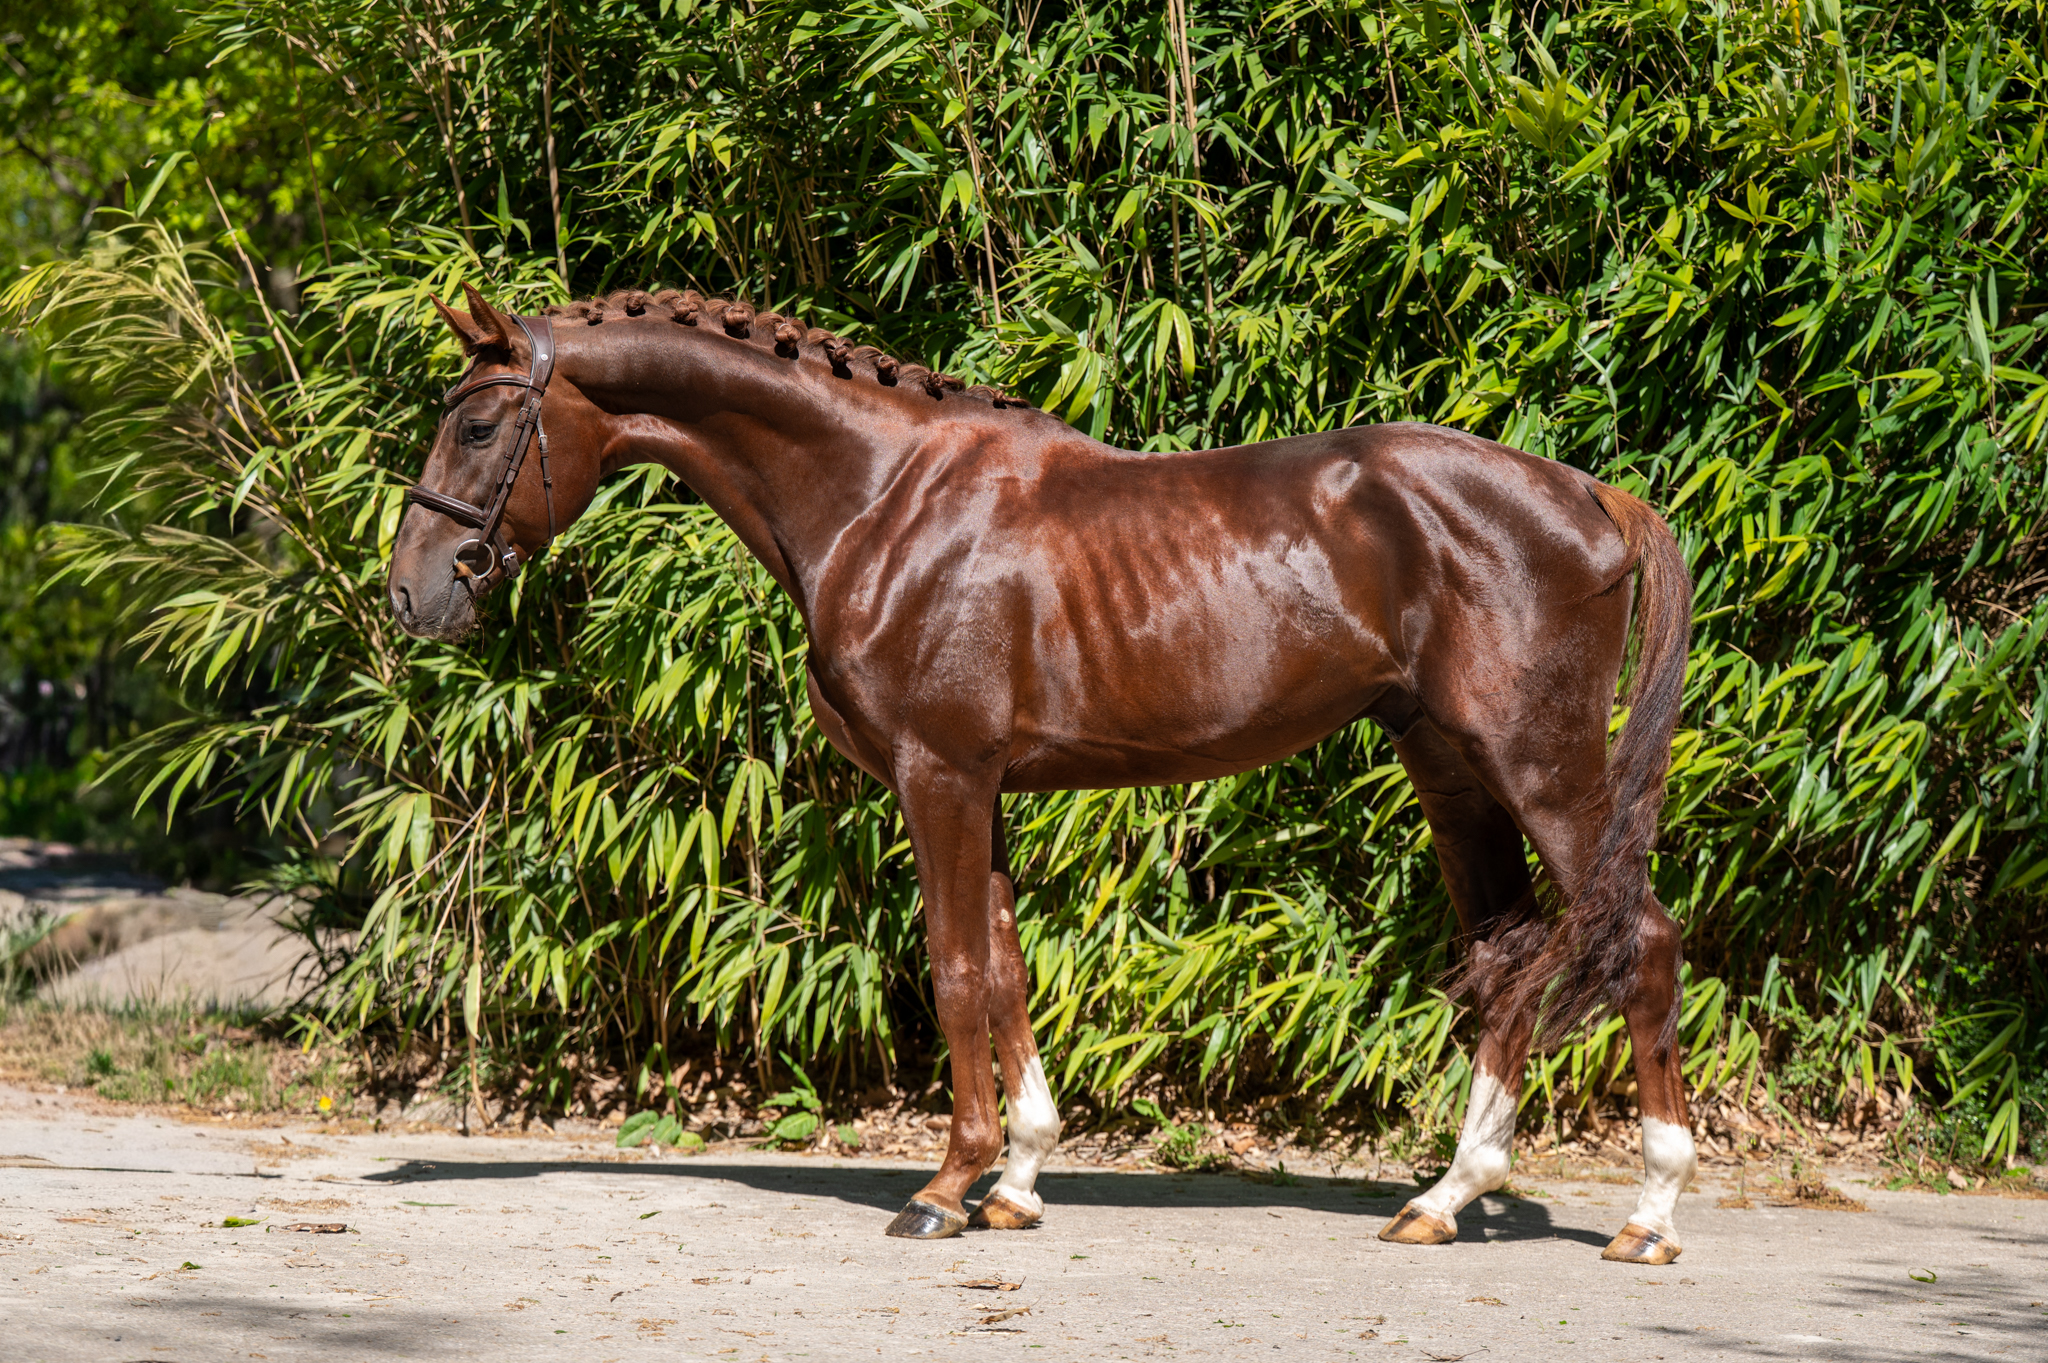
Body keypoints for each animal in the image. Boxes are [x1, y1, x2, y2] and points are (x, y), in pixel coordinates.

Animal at [387, 284, 1697, 1264]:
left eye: (479, 426)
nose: (411, 594)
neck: (881, 499)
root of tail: (1588, 495)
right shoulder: (987, 790)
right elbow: (1009, 968)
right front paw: (1013, 1180)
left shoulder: (939, 778)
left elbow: (955, 968)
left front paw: (943, 1186)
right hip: (1447, 763)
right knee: (1509, 955)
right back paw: (1442, 1196)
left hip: (1538, 764)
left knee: (1639, 938)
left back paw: (1646, 1211)